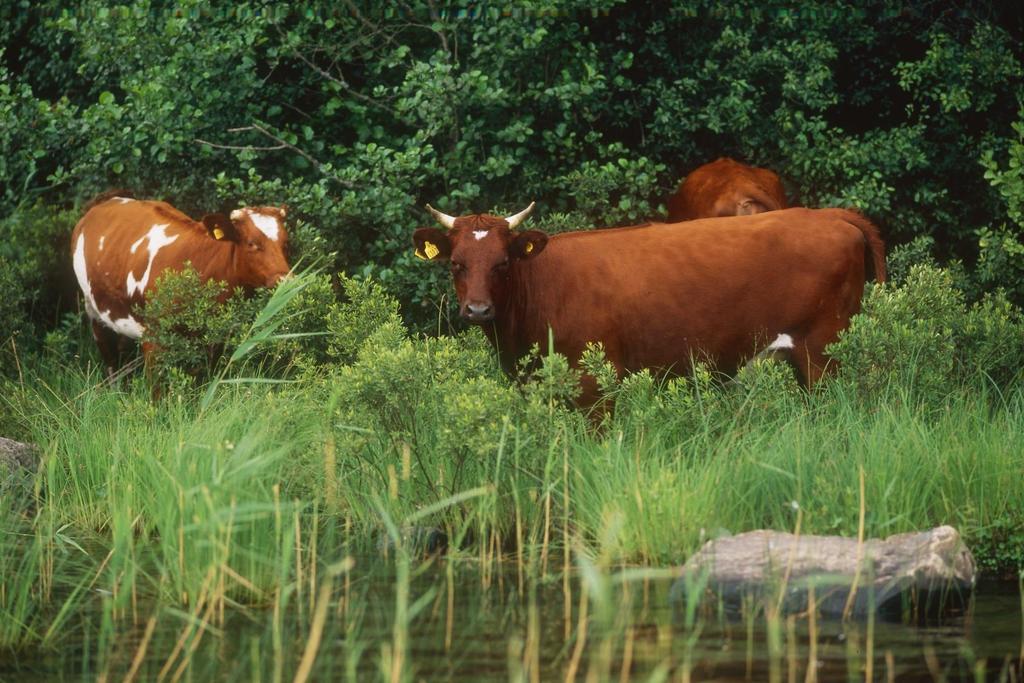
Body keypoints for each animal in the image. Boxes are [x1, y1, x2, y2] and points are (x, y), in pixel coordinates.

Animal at [72, 192, 290, 376]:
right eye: (252, 243)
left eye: (285, 242)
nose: (284, 280)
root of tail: (105, 201)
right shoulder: (154, 338)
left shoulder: (216, 339)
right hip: (93, 309)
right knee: (111, 361)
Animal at [411, 202, 884, 405]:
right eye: (456, 264)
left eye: (503, 263)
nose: (477, 310)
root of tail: (828, 214)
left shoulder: (595, 383)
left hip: (823, 351)